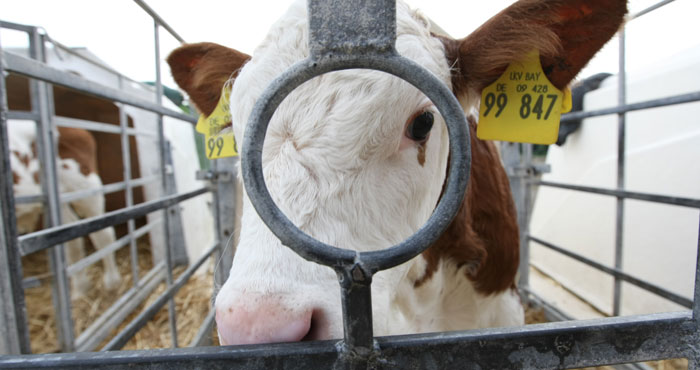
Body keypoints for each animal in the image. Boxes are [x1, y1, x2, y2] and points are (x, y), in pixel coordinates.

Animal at [9, 121, 120, 298]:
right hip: (58, 201)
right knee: (71, 238)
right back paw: (80, 290)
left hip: (85, 188)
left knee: (103, 234)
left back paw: (111, 283)